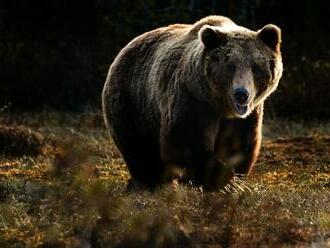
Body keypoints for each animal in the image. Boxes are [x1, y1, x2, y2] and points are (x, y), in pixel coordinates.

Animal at [102, 15, 282, 190]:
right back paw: (150, 183)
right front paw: (225, 180)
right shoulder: (191, 99)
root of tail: (124, 49)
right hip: (133, 102)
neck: (220, 105)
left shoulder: (245, 116)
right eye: (230, 66)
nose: (241, 94)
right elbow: (185, 140)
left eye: (255, 67)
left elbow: (238, 144)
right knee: (139, 150)